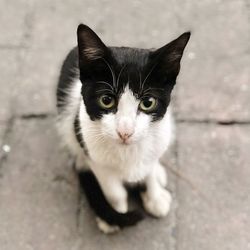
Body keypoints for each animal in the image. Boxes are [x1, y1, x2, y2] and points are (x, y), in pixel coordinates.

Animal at [56, 24, 189, 233]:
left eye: (148, 103)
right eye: (106, 100)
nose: (125, 132)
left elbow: (149, 171)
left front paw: (155, 198)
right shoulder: (93, 153)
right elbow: (115, 191)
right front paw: (115, 216)